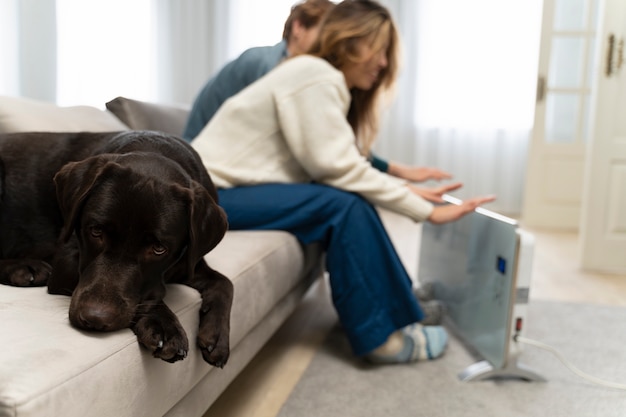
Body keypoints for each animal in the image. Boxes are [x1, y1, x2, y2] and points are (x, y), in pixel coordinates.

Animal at [0, 132, 232, 366]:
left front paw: (217, 337)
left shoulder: (188, 262)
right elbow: (151, 295)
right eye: (96, 231)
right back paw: (25, 268)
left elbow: (224, 282)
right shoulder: (65, 264)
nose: (94, 318)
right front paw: (164, 325)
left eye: (158, 248)